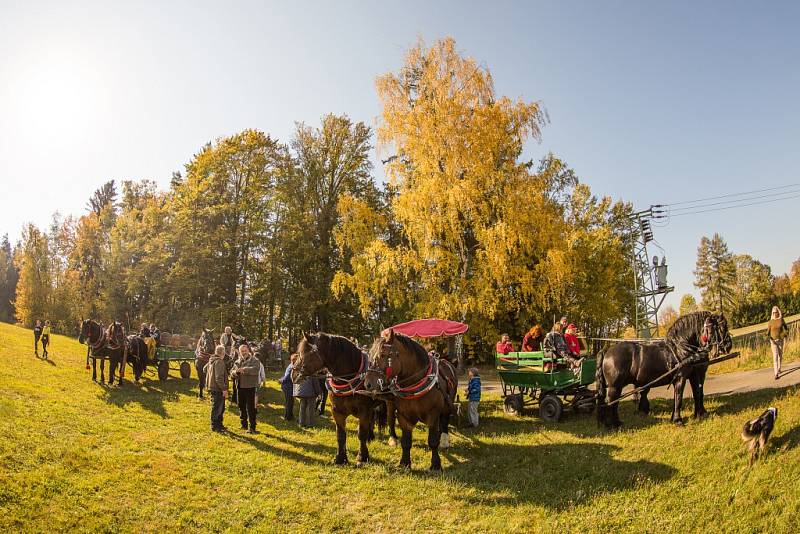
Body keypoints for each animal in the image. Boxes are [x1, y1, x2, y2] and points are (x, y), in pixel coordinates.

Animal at [294, 332, 394, 466]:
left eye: (305, 352)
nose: (293, 374)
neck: (349, 378)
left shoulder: (364, 411)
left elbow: (361, 434)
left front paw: (362, 456)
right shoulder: (337, 411)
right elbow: (341, 435)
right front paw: (340, 458)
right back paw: (371, 436)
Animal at [362, 330, 456, 474]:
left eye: (383, 355)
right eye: (370, 355)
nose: (367, 384)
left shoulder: (433, 415)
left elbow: (433, 441)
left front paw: (435, 464)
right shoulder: (403, 416)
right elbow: (406, 441)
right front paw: (404, 463)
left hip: (447, 404)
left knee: (444, 420)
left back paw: (444, 440)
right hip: (390, 405)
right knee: (390, 418)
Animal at [596, 310, 736, 432]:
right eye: (722, 327)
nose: (728, 345)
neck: (681, 348)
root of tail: (607, 351)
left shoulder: (693, 375)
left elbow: (696, 393)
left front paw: (696, 415)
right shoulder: (680, 377)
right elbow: (679, 397)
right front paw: (678, 420)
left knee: (610, 402)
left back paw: (613, 423)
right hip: (615, 386)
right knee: (610, 403)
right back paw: (613, 425)